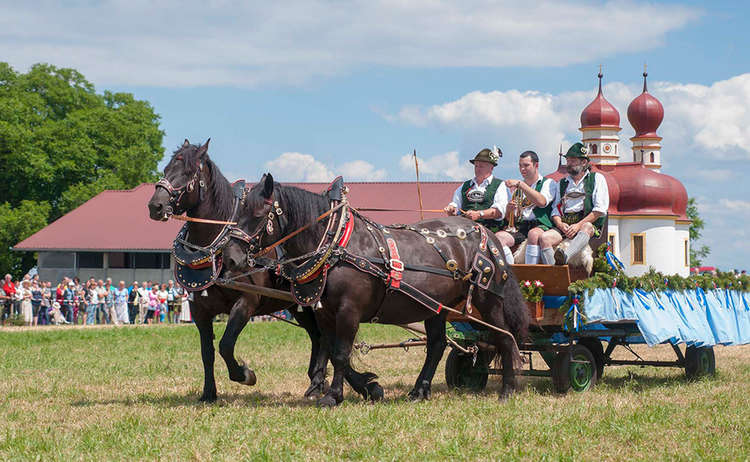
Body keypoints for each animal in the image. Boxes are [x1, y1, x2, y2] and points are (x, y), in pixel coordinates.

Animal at [148, 140, 382, 400]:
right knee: (320, 338)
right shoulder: (199, 309)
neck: (215, 248)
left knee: (326, 341)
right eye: (166, 168)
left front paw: (244, 374)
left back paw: (349, 384)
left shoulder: (247, 301)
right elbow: (206, 352)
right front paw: (209, 393)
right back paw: (317, 382)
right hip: (301, 307)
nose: (155, 206)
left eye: (188, 172)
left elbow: (226, 345)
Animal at [223, 175, 528, 406]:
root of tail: (485, 234)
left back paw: (507, 390)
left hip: (489, 301)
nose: (231, 258)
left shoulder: (349, 310)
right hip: (436, 307)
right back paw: (419, 390)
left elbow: (341, 353)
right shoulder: (324, 313)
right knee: (437, 344)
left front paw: (333, 396)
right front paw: (354, 389)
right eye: (237, 213)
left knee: (506, 338)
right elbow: (331, 349)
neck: (336, 245)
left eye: (259, 214)